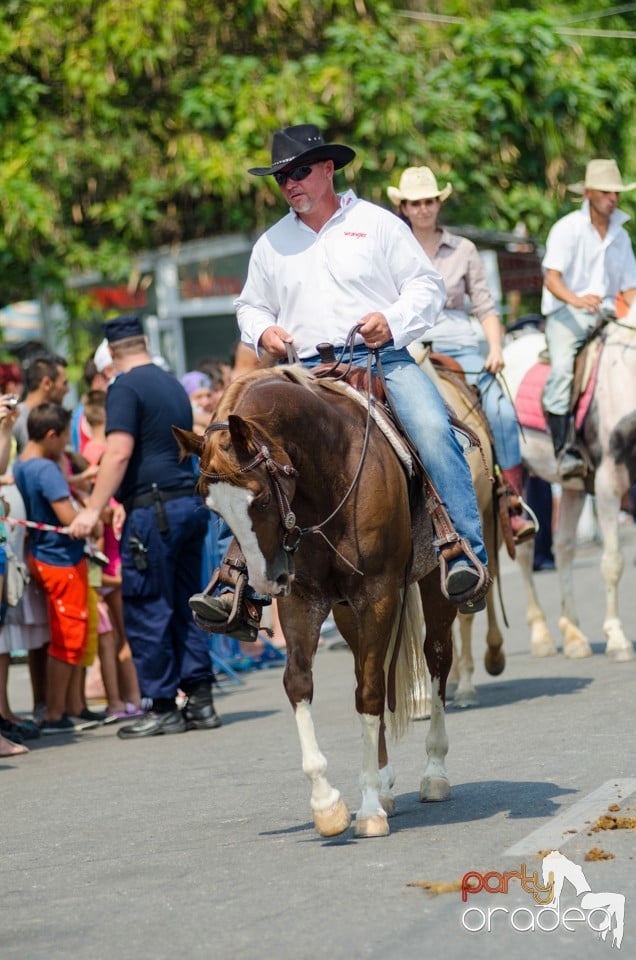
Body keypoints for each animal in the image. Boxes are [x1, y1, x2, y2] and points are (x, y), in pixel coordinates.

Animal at [175, 364, 458, 836]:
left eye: (261, 498)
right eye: (215, 511)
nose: (265, 580)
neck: (329, 476)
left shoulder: (378, 594)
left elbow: (369, 693)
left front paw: (369, 810)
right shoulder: (304, 599)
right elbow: (301, 683)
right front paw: (328, 805)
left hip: (434, 590)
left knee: (435, 659)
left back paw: (434, 773)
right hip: (346, 613)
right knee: (372, 669)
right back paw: (385, 782)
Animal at [502, 300, 636, 660]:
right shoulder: (609, 482)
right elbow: (614, 561)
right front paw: (617, 638)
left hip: (573, 487)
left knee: (562, 547)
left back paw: (574, 634)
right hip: (514, 476)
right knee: (525, 551)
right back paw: (541, 636)